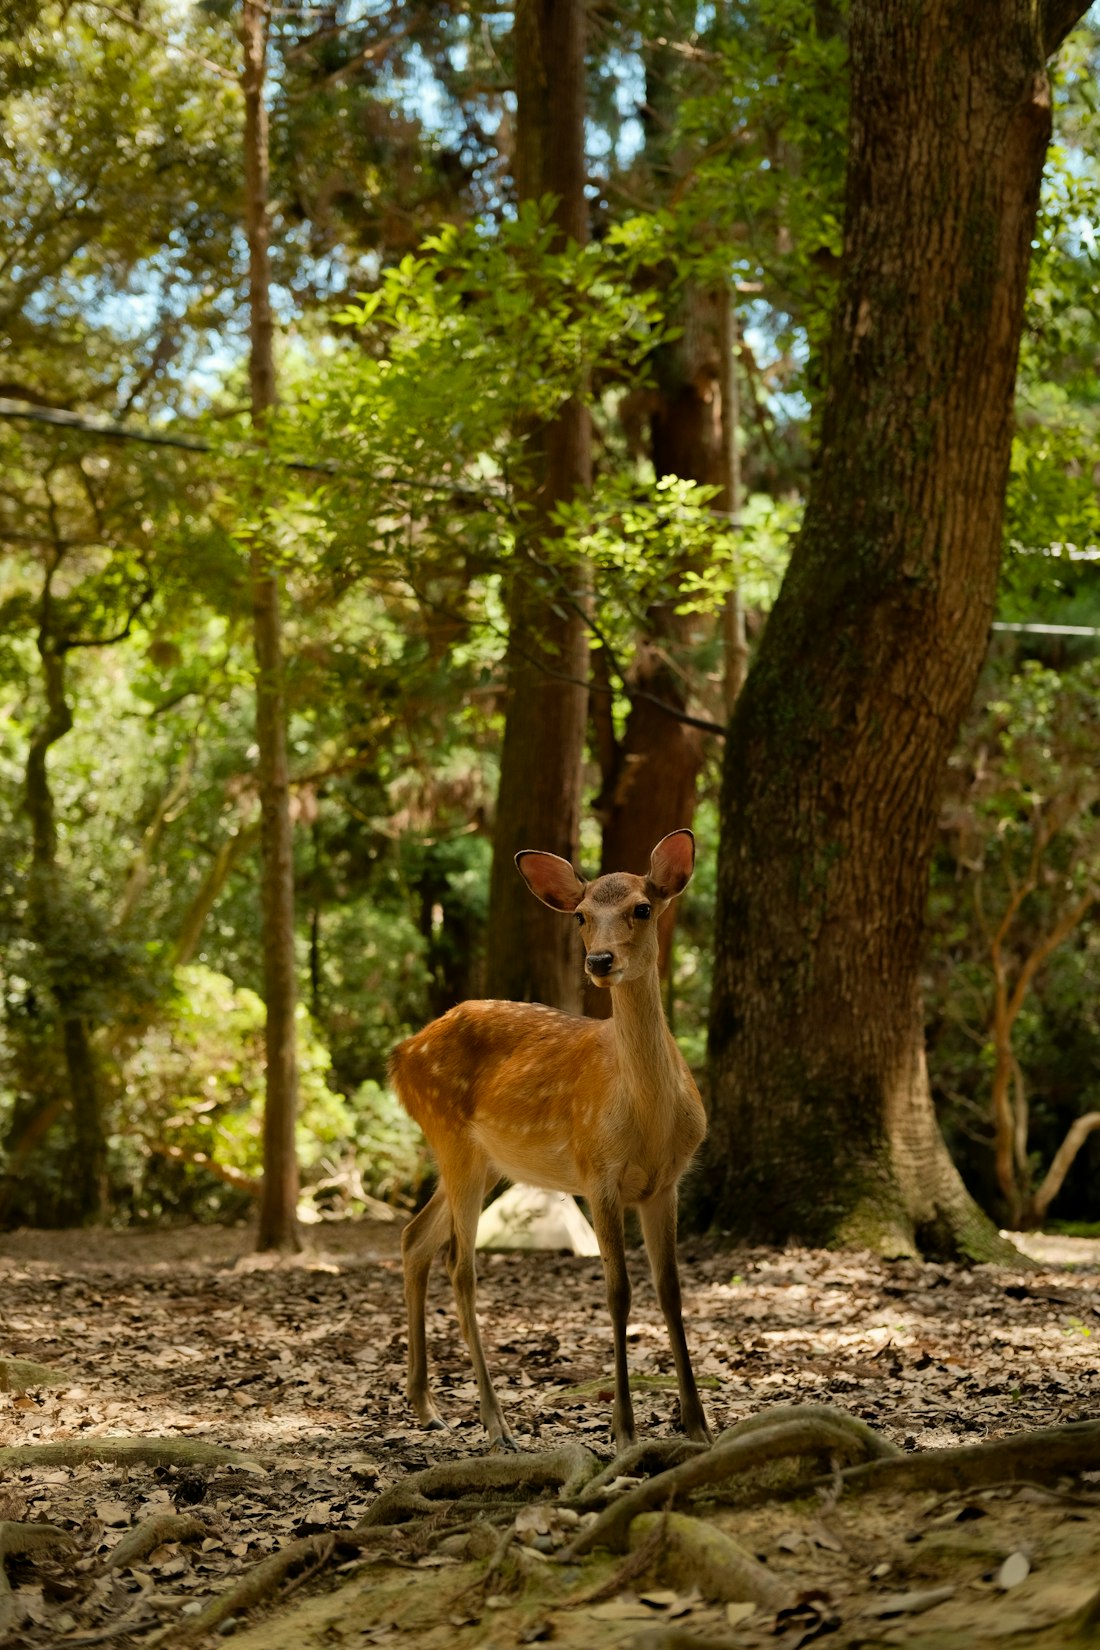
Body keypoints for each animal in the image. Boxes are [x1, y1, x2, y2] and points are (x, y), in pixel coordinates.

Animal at [390, 828, 711, 1452]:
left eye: (643, 907)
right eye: (582, 916)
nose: (600, 960)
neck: (649, 1120)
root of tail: (400, 1055)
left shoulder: (667, 1183)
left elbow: (671, 1291)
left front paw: (698, 1425)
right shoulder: (598, 1173)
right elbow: (619, 1292)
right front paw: (623, 1429)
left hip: (486, 1161)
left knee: (416, 1238)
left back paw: (426, 1407)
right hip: (450, 1135)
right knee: (459, 1265)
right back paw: (496, 1423)